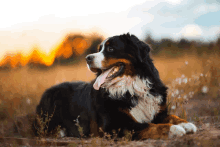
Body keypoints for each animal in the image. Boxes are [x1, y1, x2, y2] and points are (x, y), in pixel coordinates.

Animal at [35, 32, 197, 140]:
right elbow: (149, 126)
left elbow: (172, 116)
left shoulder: (158, 112)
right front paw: (174, 129)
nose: (88, 58)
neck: (131, 88)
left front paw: (186, 124)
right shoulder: (115, 125)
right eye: (99, 49)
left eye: (110, 49)